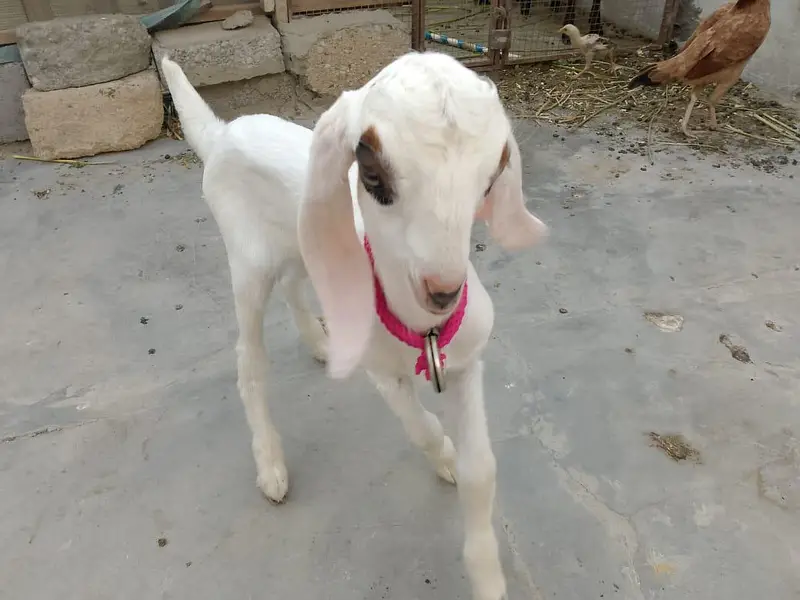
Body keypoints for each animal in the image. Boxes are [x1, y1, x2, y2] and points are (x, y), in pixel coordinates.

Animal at [160, 51, 547, 600]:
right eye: (371, 173)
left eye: (491, 177)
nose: (443, 291)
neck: (423, 332)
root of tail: (223, 134)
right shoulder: (382, 371)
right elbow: (421, 427)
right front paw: (444, 454)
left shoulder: (467, 364)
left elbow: (481, 471)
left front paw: (488, 577)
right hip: (248, 263)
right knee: (249, 358)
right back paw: (271, 464)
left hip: (304, 243)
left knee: (295, 284)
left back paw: (321, 342)